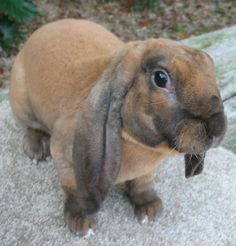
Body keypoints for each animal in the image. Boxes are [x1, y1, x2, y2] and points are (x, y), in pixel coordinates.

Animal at [9, 19, 227, 236]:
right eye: (161, 78)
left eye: (211, 66)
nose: (218, 129)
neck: (142, 147)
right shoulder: (64, 159)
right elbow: (73, 189)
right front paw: (81, 223)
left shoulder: (147, 172)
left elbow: (143, 183)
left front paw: (150, 209)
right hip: (22, 102)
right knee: (30, 126)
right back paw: (37, 150)